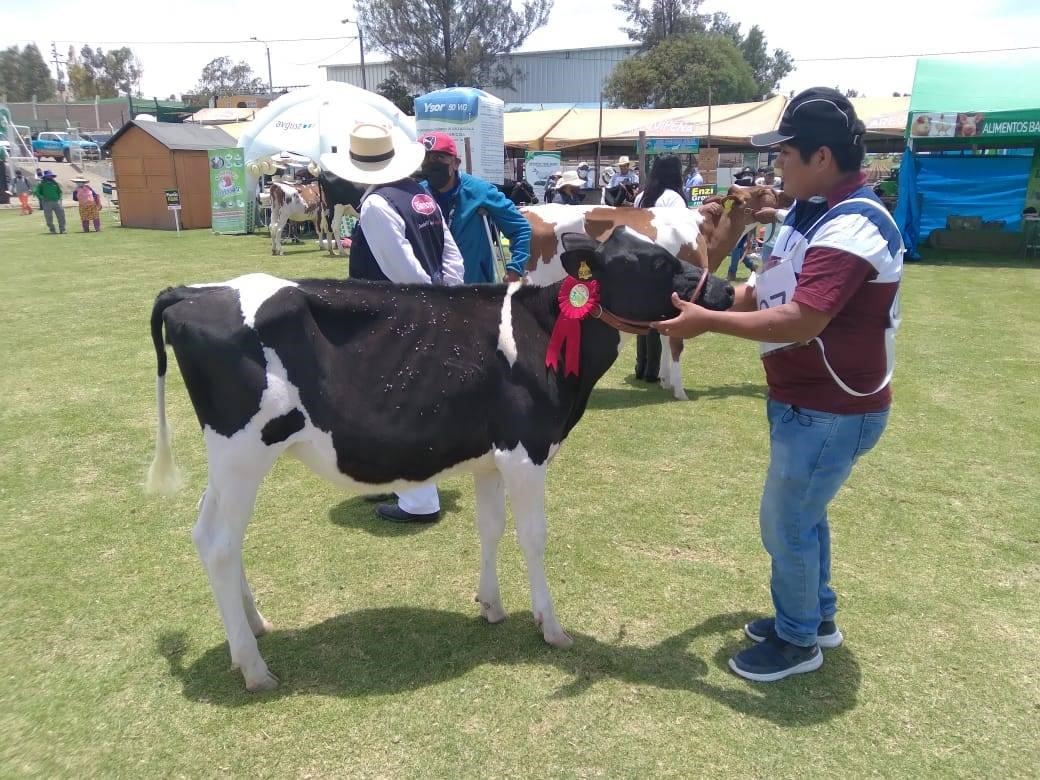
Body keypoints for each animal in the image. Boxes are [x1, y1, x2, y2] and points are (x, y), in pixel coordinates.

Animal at [146, 225, 736, 690]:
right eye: (657, 262)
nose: (727, 288)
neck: (548, 331)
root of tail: (191, 293)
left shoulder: (491, 456)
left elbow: (490, 527)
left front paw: (491, 606)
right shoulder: (527, 451)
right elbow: (533, 536)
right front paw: (550, 626)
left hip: (231, 459)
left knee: (208, 532)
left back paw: (254, 625)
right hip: (242, 450)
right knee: (221, 544)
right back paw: (253, 665)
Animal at [524, 186, 782, 399]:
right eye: (761, 193)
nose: (779, 194)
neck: (704, 233)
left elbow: (667, 336)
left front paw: (665, 380)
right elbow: (676, 344)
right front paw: (679, 390)